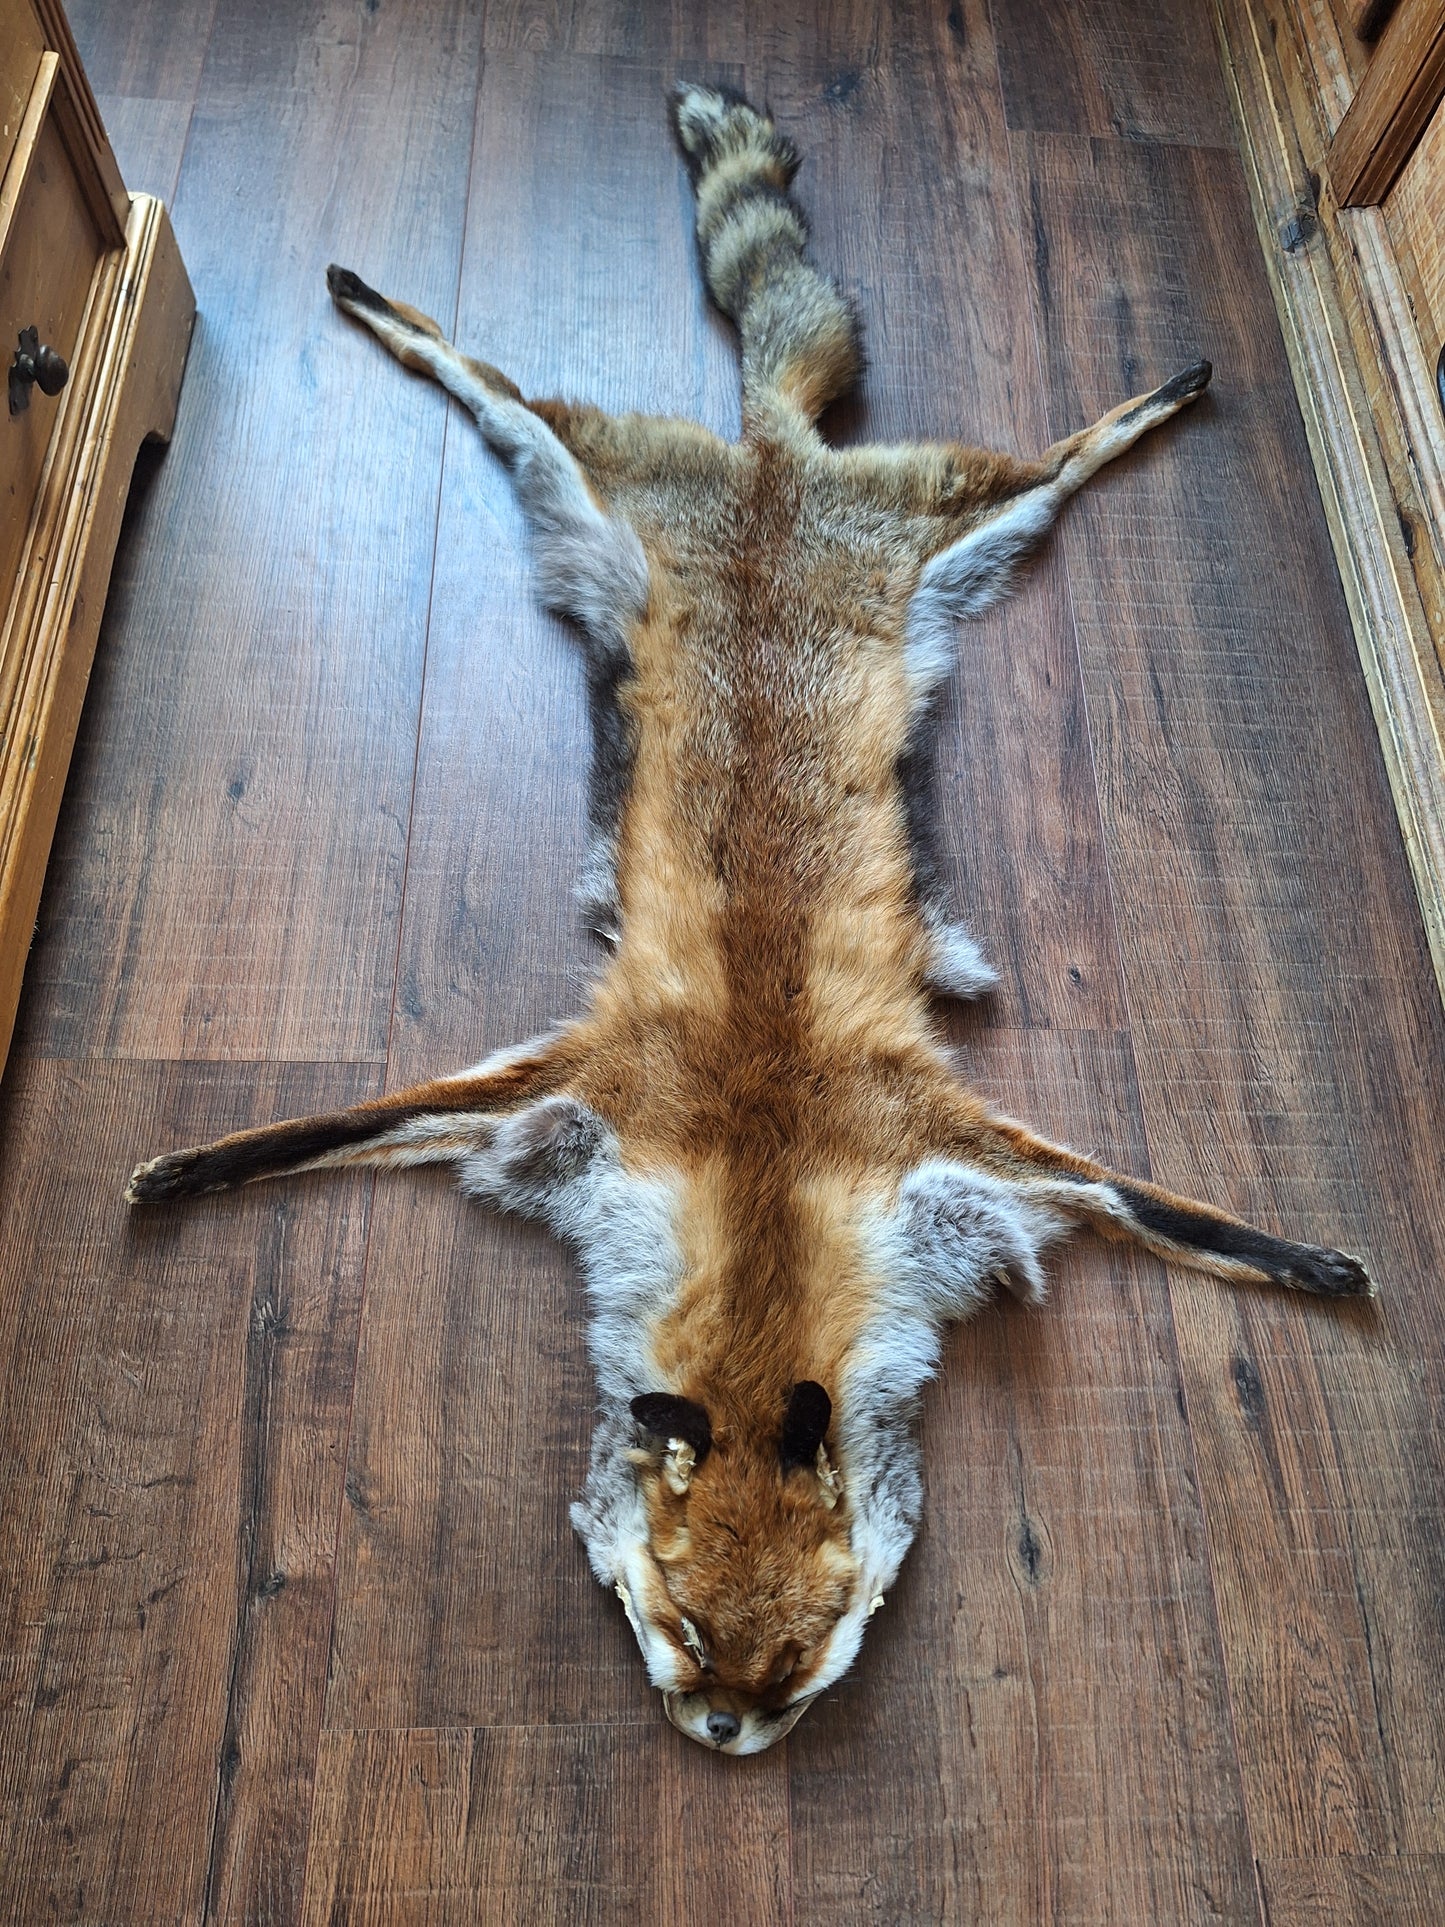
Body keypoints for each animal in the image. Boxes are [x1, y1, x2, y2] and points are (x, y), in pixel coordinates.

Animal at [127, 84, 1372, 1755]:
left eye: (797, 1660)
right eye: (687, 1625)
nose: (724, 1736)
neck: (768, 1165)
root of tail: (779, 470)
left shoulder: (936, 1137)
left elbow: (1168, 1209)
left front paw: (1307, 1261)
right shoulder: (585, 1083)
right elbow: (310, 1131)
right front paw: (186, 1166)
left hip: (947, 523)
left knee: (1053, 446)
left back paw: (1150, 392)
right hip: (598, 474)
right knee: (490, 371)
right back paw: (384, 300)